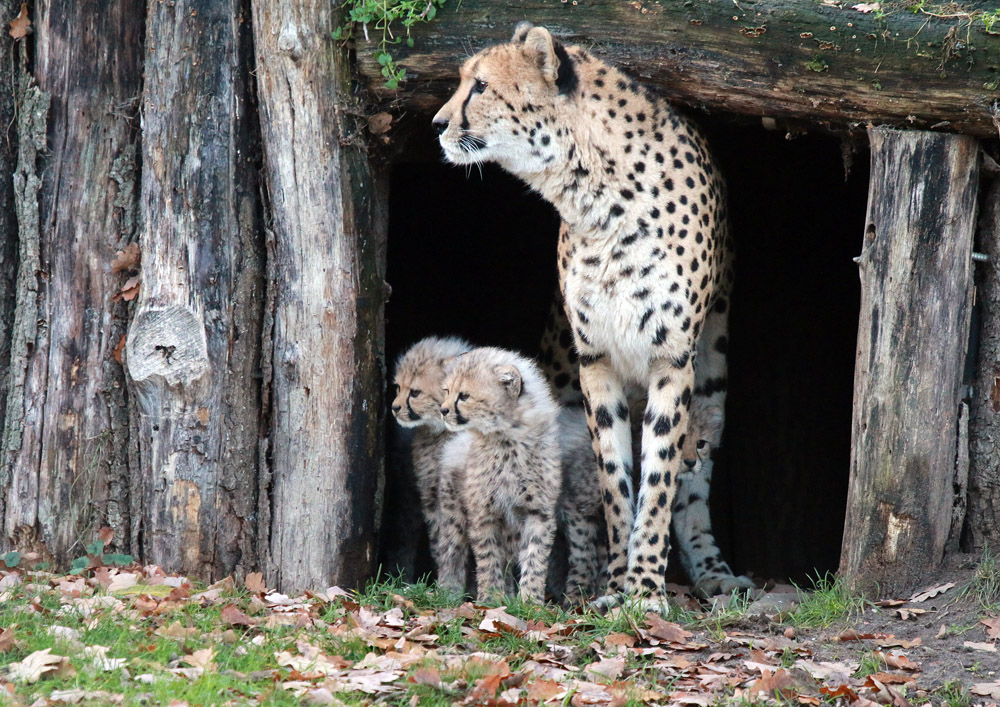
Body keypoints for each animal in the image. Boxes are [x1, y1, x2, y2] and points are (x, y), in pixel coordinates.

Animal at [434, 23, 752, 608]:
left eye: (481, 86)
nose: (438, 124)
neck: (597, 198)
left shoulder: (672, 360)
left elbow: (660, 479)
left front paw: (645, 589)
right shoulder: (595, 360)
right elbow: (613, 477)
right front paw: (617, 584)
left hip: (712, 368)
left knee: (694, 482)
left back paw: (713, 572)